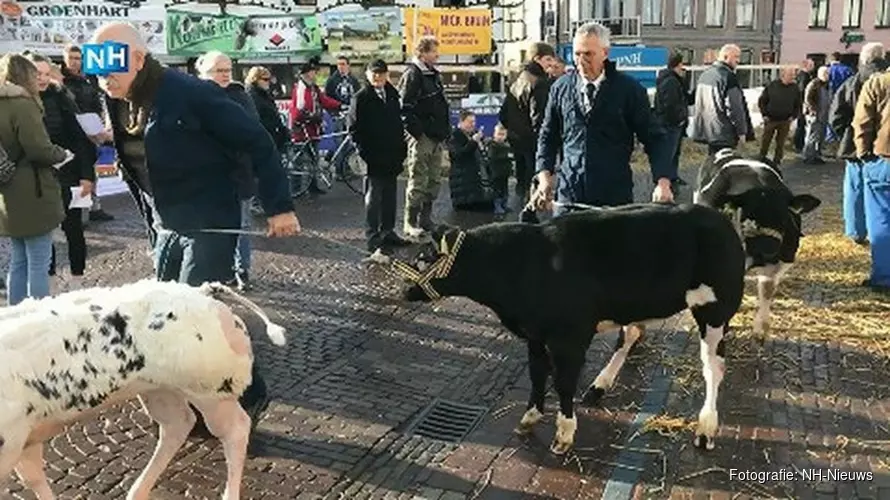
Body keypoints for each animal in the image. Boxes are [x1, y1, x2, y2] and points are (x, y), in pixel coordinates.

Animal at [0, 280, 284, 498]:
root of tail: (205, 292)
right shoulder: (24, 438)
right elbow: (34, 477)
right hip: (160, 390)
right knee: (178, 424)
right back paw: (138, 491)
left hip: (211, 391)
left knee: (235, 429)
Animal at [398, 202, 744, 454]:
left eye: (425, 257)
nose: (402, 287)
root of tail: (718, 217)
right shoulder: (535, 334)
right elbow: (538, 374)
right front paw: (529, 418)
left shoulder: (570, 336)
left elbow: (563, 382)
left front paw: (564, 434)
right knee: (630, 334)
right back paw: (599, 386)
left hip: (715, 310)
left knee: (713, 366)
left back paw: (706, 428)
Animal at [692, 149, 820, 336]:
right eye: (747, 215)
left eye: (784, 216)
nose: (766, 249)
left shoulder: (780, 263)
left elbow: (767, 291)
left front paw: (761, 328)